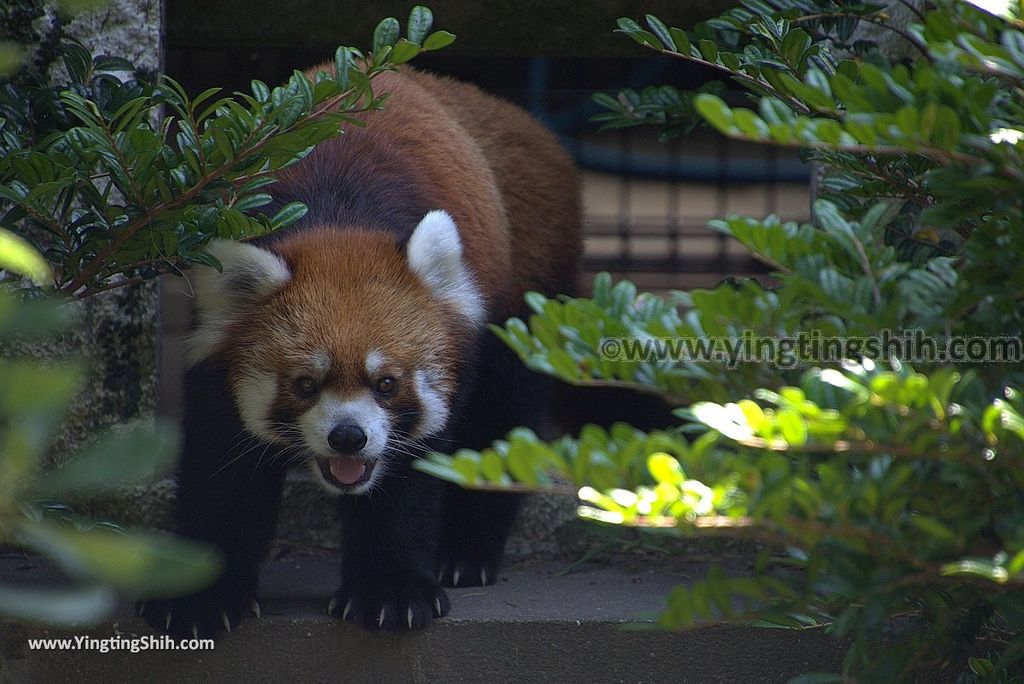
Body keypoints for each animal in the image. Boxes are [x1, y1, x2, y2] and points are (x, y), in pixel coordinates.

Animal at [139, 65, 581, 634]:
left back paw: (466, 553)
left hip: (524, 293)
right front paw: (200, 595)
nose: (348, 437)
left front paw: (390, 589)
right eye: (305, 384)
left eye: (386, 383)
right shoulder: (213, 358)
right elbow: (222, 473)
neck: (337, 216)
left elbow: (407, 479)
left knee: (503, 414)